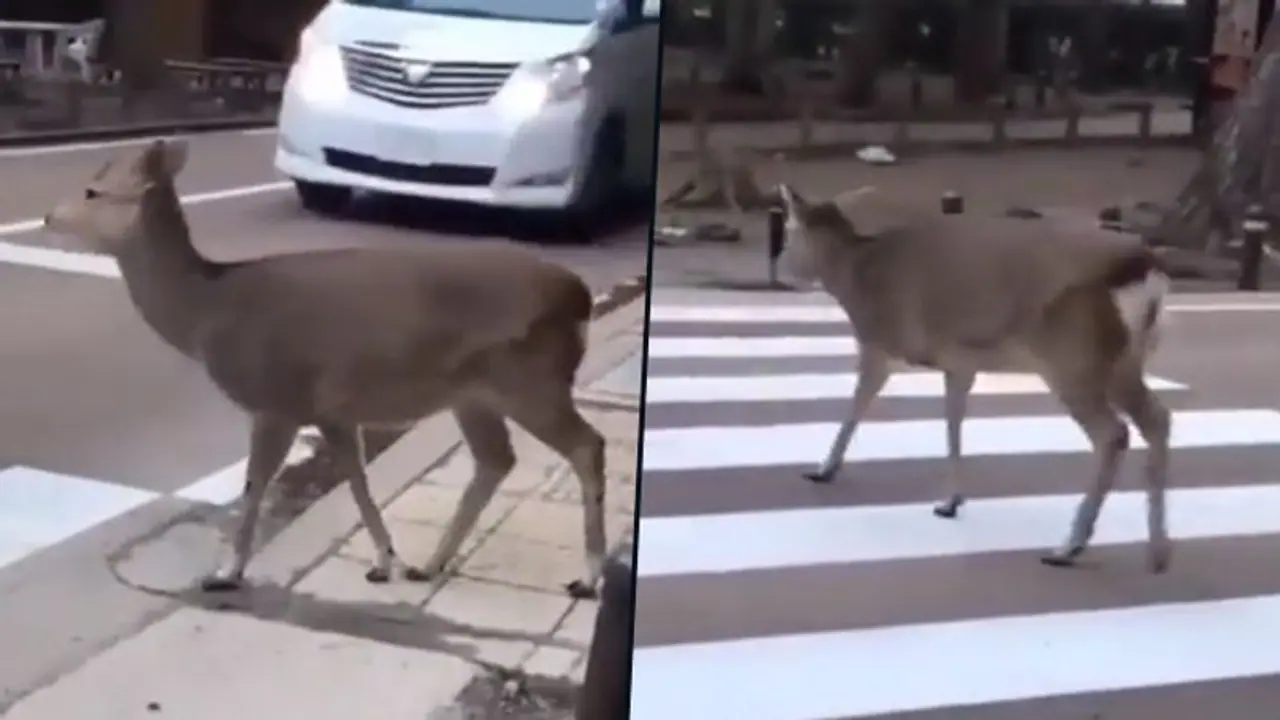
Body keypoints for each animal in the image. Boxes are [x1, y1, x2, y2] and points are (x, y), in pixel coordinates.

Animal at [43, 139, 608, 599]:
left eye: (94, 191)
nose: (49, 217)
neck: (208, 313)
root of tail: (579, 296)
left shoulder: (276, 398)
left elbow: (255, 484)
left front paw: (226, 573)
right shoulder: (332, 408)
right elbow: (356, 478)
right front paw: (383, 561)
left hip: (531, 378)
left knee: (587, 445)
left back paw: (587, 577)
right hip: (473, 394)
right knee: (496, 459)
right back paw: (430, 564)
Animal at [776, 183, 1173, 573]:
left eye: (789, 233)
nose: (779, 270)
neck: (856, 278)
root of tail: (1145, 270)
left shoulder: (879, 343)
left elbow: (856, 406)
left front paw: (823, 469)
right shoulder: (959, 361)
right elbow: (953, 422)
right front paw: (951, 501)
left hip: (1072, 358)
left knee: (1112, 434)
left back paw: (1069, 546)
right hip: (1124, 361)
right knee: (1158, 418)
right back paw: (1158, 551)